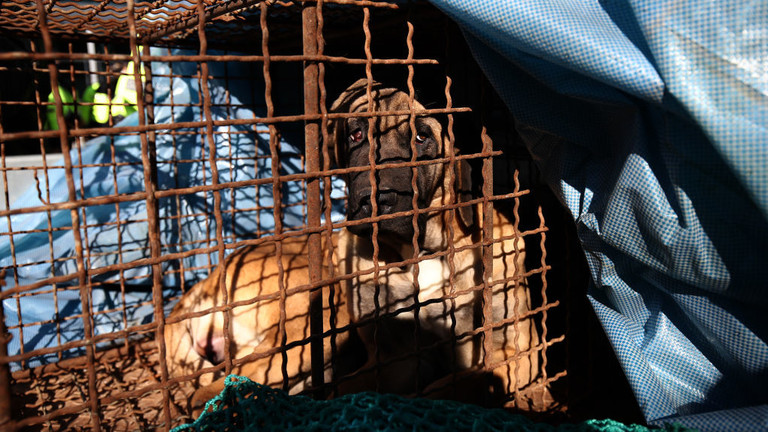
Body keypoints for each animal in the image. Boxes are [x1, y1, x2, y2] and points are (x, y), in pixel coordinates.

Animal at [162, 78, 548, 416]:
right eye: (356, 135)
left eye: (422, 137)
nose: (374, 199)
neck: (422, 255)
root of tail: (208, 280)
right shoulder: (394, 358)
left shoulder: (518, 351)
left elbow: (464, 383)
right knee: (235, 379)